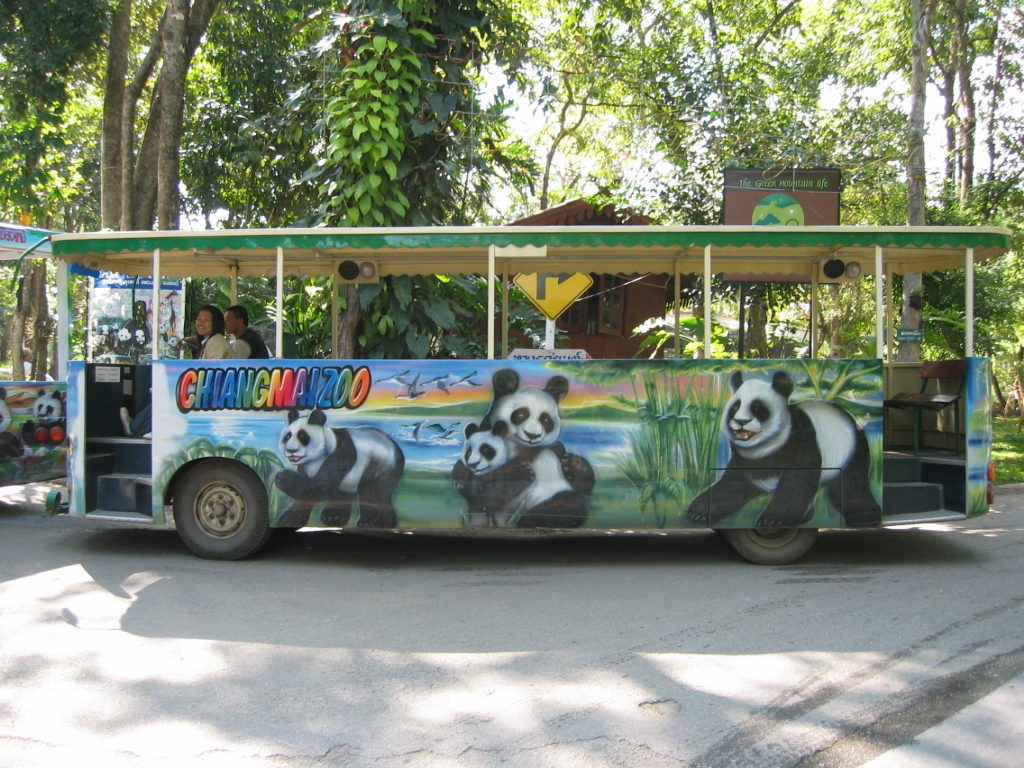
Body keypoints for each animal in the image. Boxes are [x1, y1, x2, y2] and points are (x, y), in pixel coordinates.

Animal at [274, 411, 405, 532]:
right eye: (287, 436)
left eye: (303, 436)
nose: (291, 450)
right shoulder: (305, 466)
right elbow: (305, 495)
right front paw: (289, 520)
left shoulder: (341, 454)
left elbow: (320, 487)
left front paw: (283, 477)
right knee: (359, 494)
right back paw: (348, 519)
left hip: (384, 465)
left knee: (380, 494)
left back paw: (383, 523)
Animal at [688, 370, 880, 528]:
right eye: (735, 407)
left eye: (758, 408)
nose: (741, 421)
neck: (766, 446)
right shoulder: (744, 458)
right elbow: (732, 485)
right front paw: (699, 511)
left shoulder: (802, 441)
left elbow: (796, 483)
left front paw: (772, 519)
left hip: (850, 450)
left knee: (851, 484)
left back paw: (865, 517)